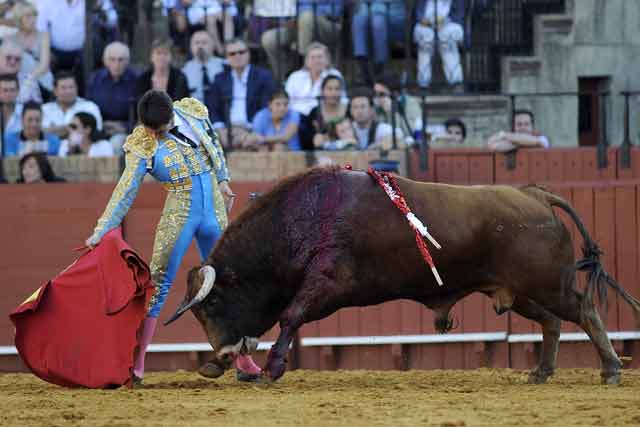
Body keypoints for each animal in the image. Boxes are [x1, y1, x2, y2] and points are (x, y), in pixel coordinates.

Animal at [165, 166, 640, 384]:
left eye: (213, 303)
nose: (219, 359)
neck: (299, 219)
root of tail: (535, 194)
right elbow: (289, 317)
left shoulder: (328, 282)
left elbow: (290, 316)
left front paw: (275, 366)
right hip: (518, 292)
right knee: (553, 321)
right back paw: (541, 372)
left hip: (546, 283)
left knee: (582, 309)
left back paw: (611, 369)